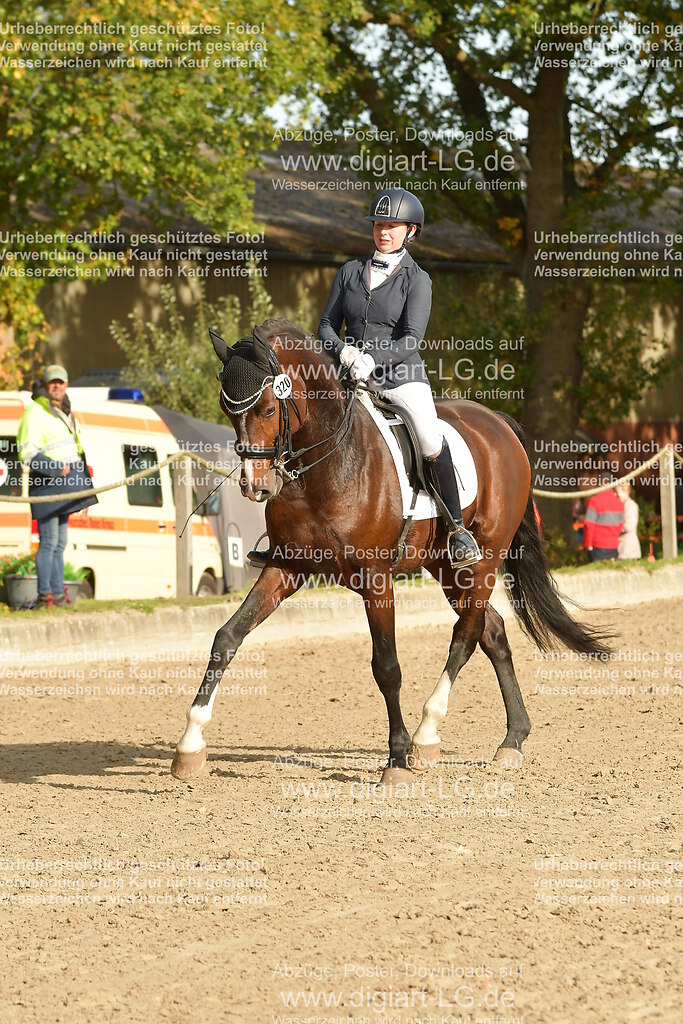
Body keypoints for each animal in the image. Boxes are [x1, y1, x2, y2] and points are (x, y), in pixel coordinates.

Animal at [170, 317, 609, 782]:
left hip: (484, 560)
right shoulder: (287, 567)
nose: (256, 486)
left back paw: (426, 735)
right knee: (491, 630)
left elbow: (387, 667)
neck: (325, 467)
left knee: (467, 636)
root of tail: (498, 422)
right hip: (447, 568)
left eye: (269, 409)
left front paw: (396, 759)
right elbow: (227, 637)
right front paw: (189, 745)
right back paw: (512, 738)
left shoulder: (376, 580)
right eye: (227, 411)